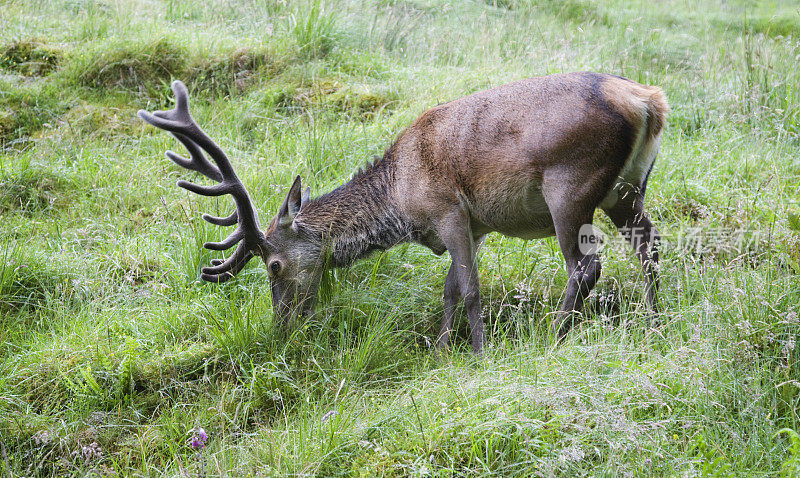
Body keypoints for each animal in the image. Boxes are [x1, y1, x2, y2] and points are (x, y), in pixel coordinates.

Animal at [139, 73, 668, 352]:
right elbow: (450, 289)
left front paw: (479, 352)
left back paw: (554, 335)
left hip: (570, 186)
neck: (401, 199)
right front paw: (442, 349)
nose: (282, 328)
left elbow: (470, 289)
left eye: (273, 264)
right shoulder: (472, 226)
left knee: (587, 265)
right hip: (624, 190)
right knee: (649, 242)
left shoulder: (449, 211)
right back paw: (655, 320)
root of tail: (647, 101)